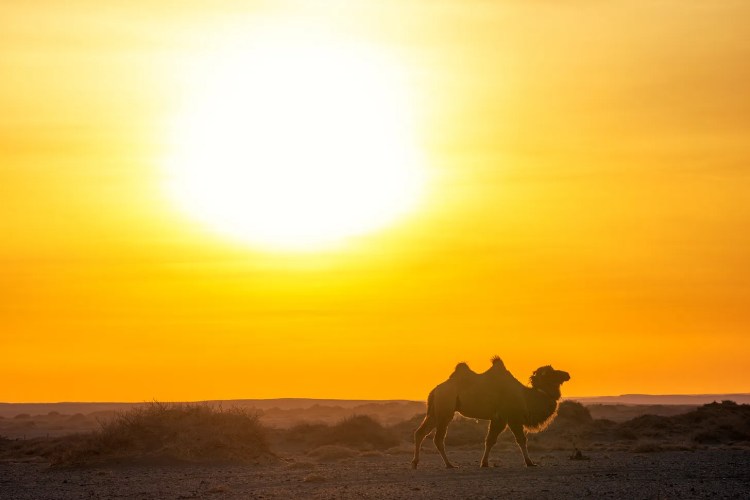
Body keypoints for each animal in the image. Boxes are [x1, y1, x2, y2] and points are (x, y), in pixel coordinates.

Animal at [411, 356, 570, 469]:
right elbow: (520, 440)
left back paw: (415, 463)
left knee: (420, 433)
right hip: (445, 409)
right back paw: (450, 465)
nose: (567, 374)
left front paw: (484, 463)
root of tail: (434, 390)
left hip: (434, 412)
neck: (525, 396)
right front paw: (530, 462)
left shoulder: (498, 418)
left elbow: (489, 440)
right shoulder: (511, 417)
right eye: (551, 373)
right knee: (438, 438)